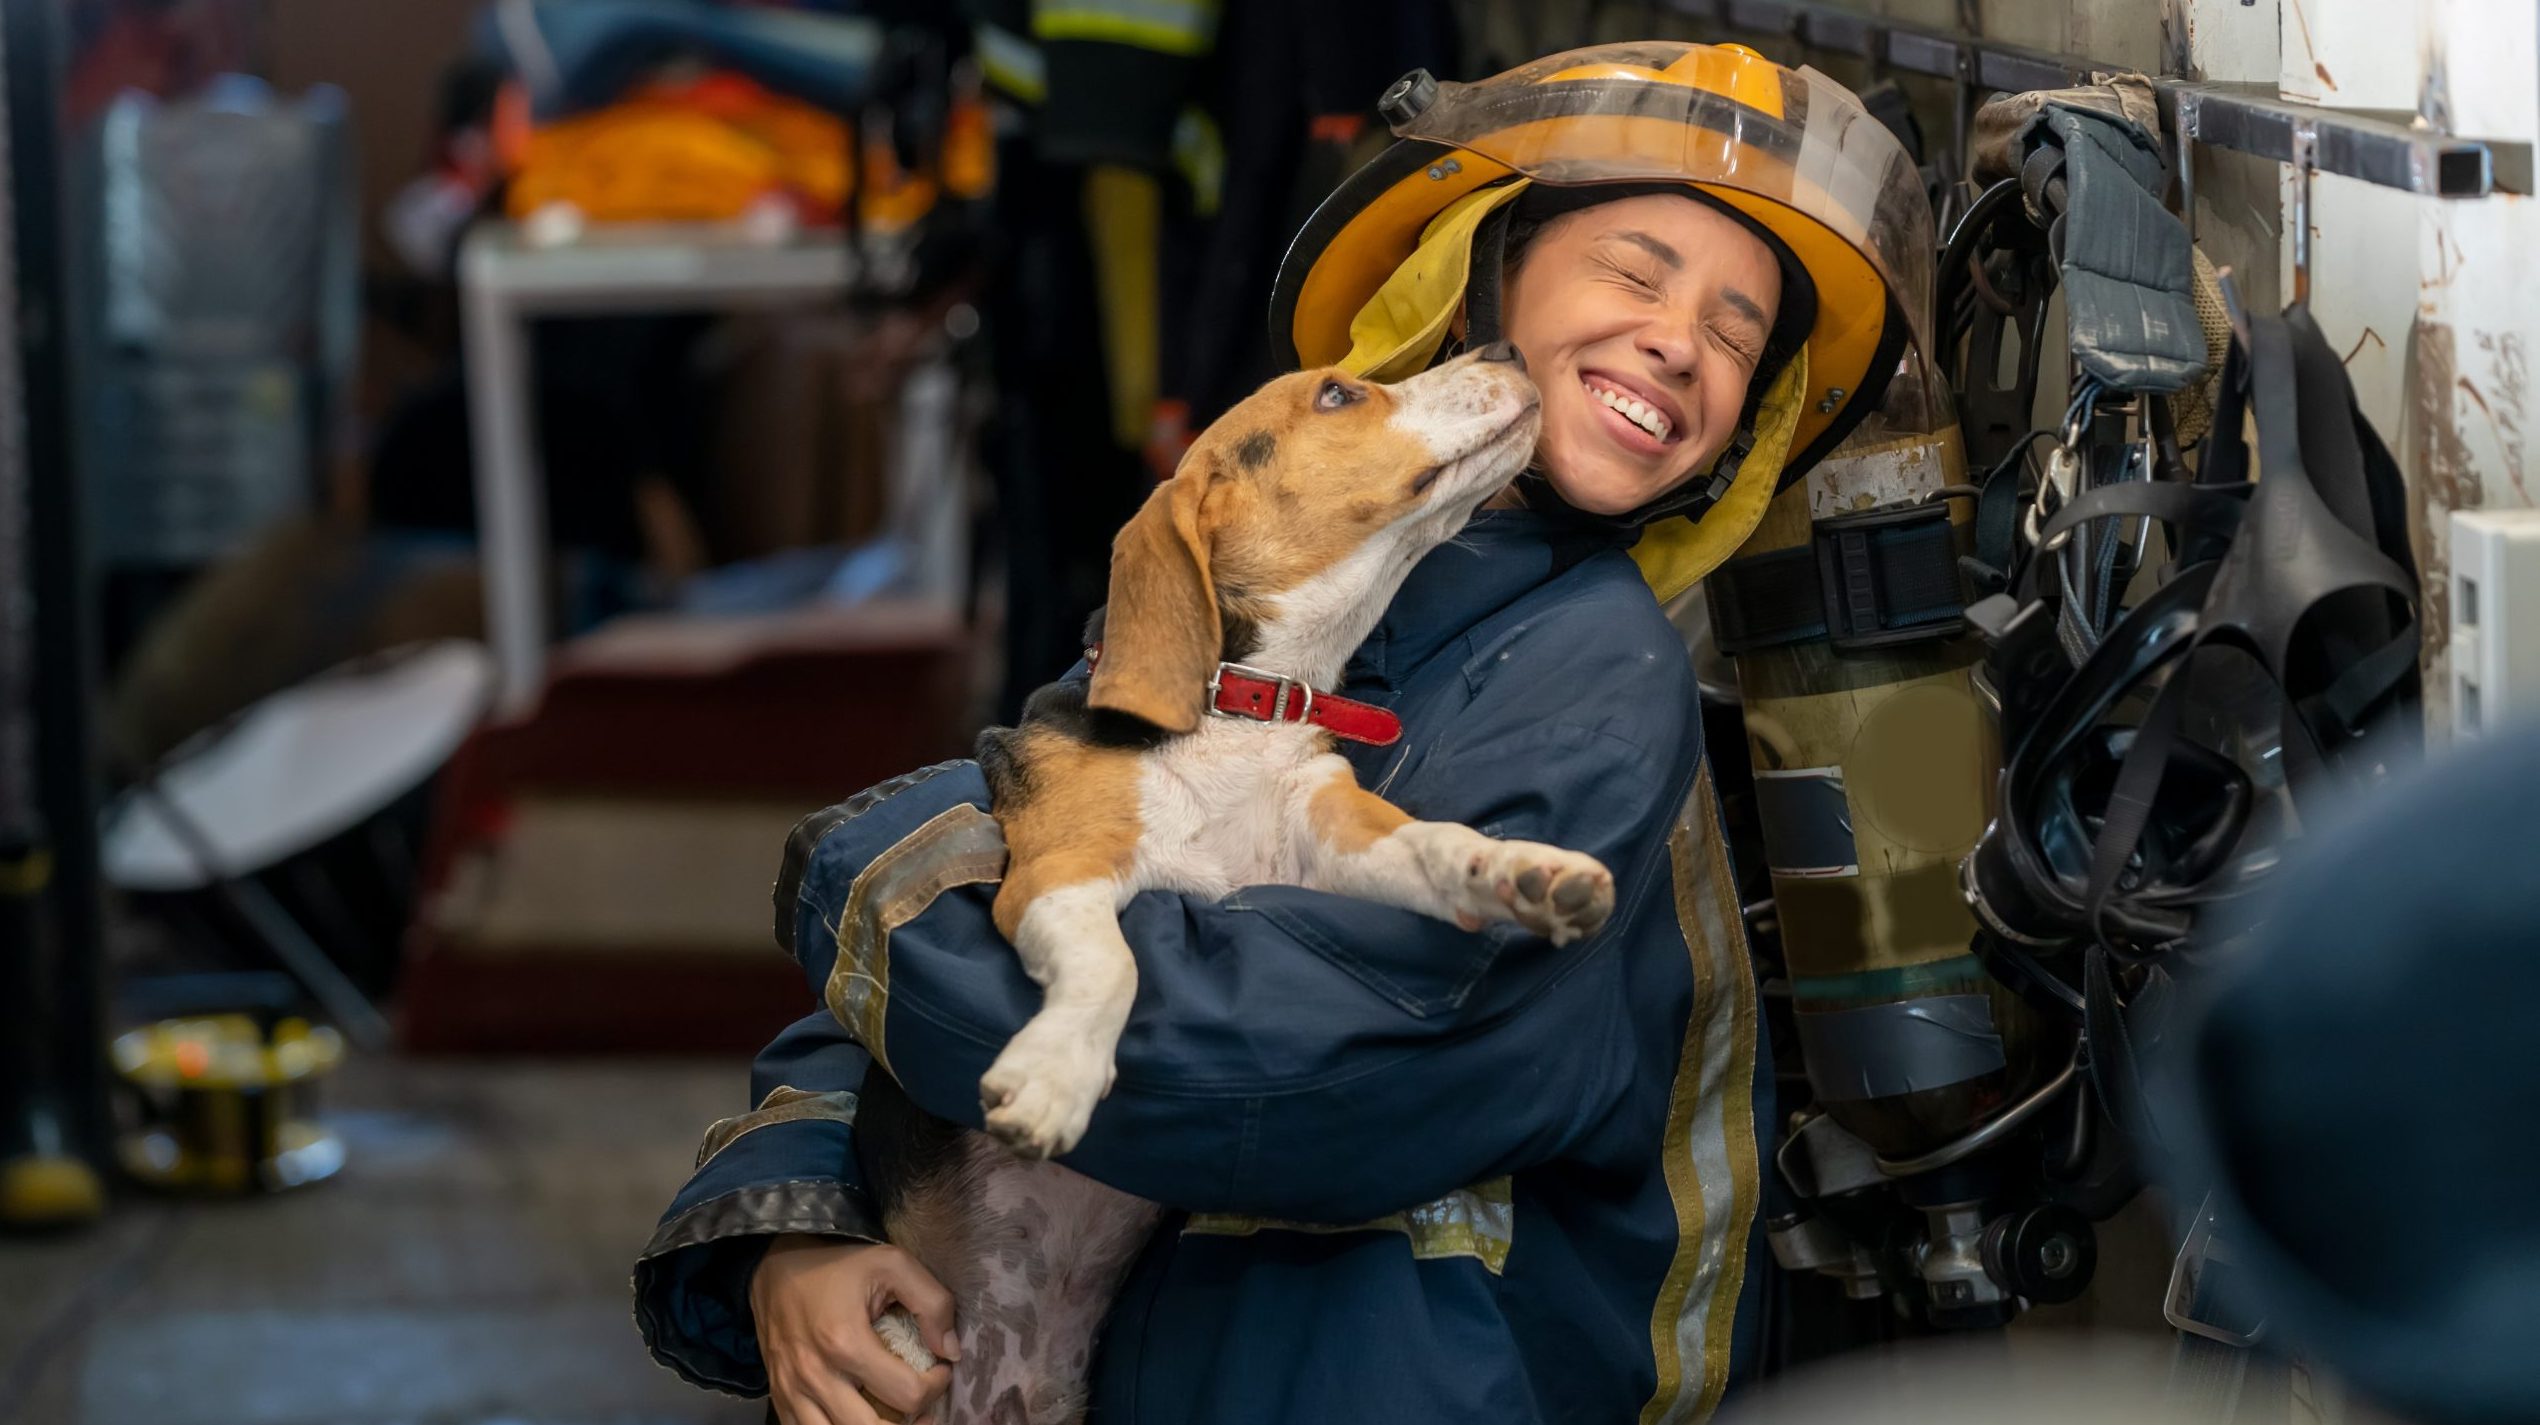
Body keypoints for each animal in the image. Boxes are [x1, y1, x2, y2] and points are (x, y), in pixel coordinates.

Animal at [848, 345, 1605, 1422]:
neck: (1238, 711)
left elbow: (1431, 843)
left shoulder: (1331, 838)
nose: (1501, 350)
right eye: (1336, 394)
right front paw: (1054, 1076)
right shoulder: (1054, 871)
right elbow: (1113, 967)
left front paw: (1519, 871)